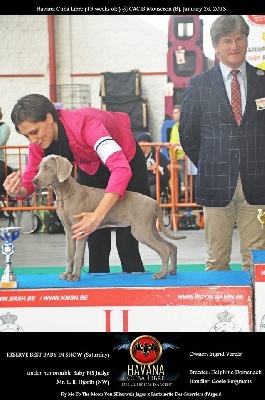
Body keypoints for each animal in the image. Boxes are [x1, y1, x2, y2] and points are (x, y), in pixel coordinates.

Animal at [32, 154, 186, 282]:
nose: (34, 181)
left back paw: (161, 274)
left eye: (47, 167)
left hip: (141, 231)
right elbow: (70, 254)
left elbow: (77, 255)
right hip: (150, 229)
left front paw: (75, 276)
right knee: (172, 246)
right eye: (38, 168)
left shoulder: (81, 230)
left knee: (164, 249)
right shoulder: (69, 231)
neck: (66, 193)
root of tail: (154, 201)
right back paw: (172, 271)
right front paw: (66, 274)